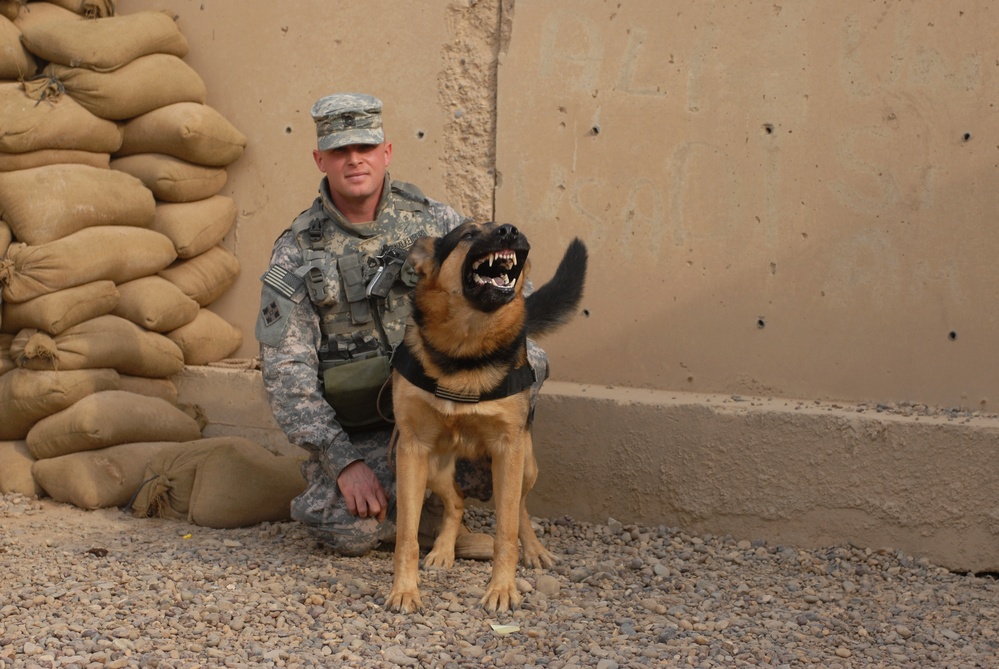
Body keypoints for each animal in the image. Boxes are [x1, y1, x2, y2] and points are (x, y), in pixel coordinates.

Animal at [382, 219, 584, 612]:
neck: (465, 349)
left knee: (519, 509)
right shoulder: (411, 449)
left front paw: (502, 589)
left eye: (511, 229)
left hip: (525, 465)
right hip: (433, 467)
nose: (510, 231)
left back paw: (534, 550)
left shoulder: (508, 449)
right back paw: (443, 551)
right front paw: (405, 589)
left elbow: (505, 532)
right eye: (469, 234)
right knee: (457, 501)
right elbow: (407, 536)